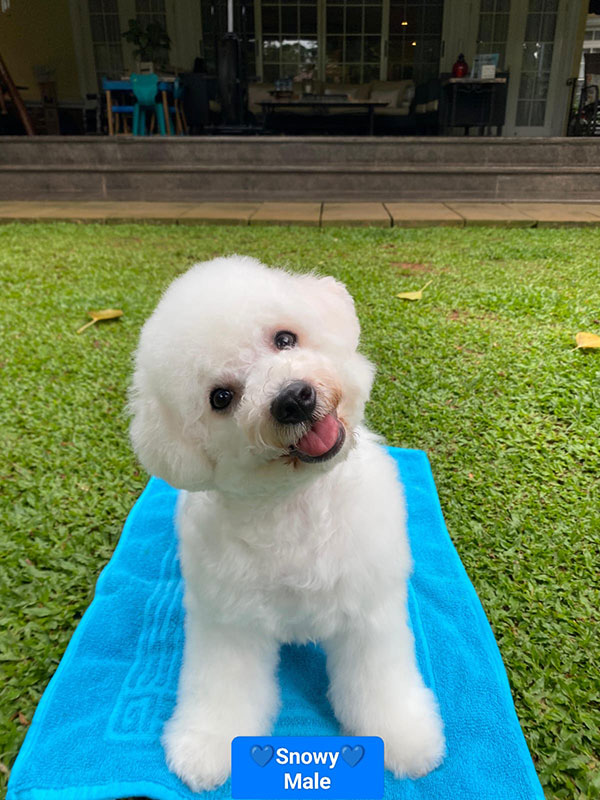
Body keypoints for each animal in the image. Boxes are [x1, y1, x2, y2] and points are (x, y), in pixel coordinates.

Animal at [129, 256, 445, 791]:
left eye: (284, 338)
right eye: (221, 397)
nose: (293, 398)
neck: (295, 506)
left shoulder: (368, 612)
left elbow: (377, 681)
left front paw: (402, 734)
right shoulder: (228, 623)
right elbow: (223, 687)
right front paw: (207, 742)